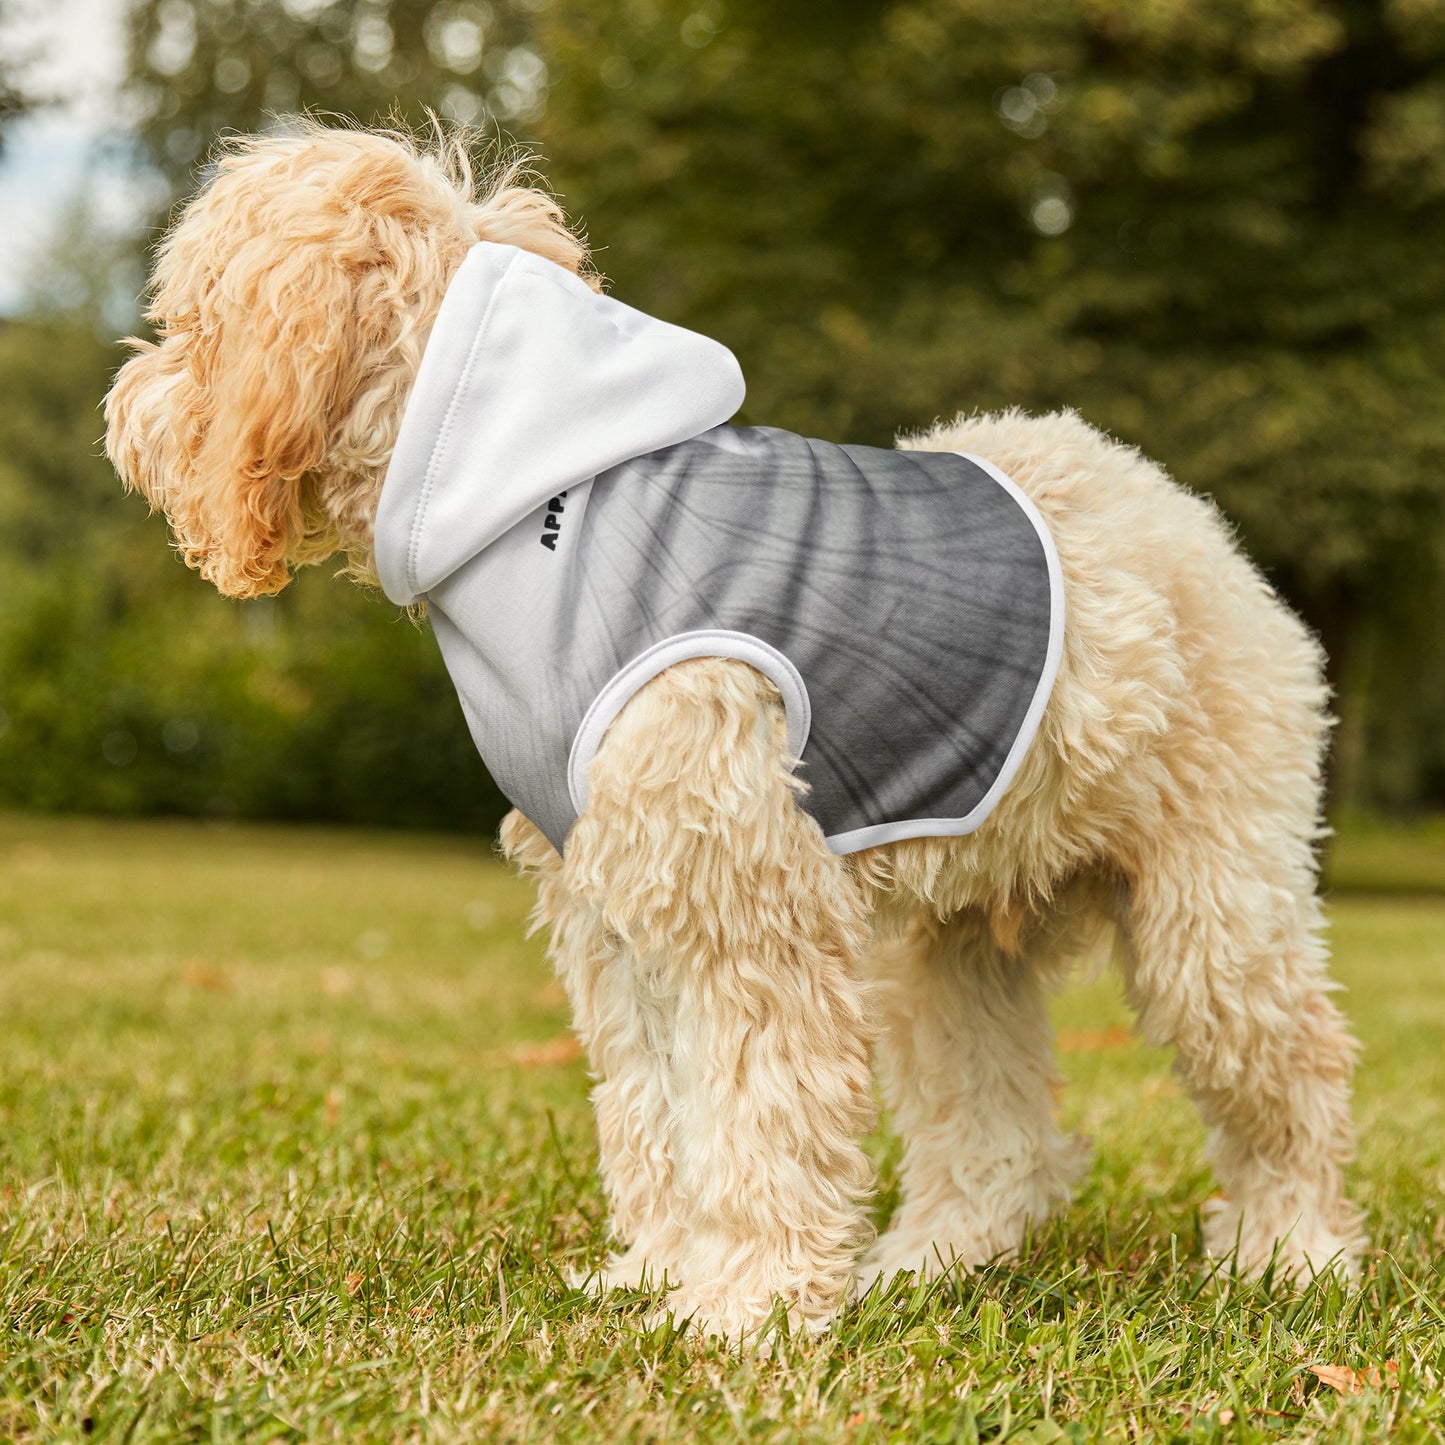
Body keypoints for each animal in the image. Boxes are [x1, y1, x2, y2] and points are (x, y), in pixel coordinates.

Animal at [104, 124, 1364, 1340]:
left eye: (190, 318)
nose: (124, 406)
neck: (536, 505)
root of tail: (1184, 517)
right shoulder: (618, 910)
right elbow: (656, 1111)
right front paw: (661, 1273)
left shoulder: (743, 905)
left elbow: (759, 1112)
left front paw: (746, 1305)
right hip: (950, 947)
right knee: (994, 1131)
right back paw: (930, 1259)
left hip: (1211, 913)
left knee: (1292, 1072)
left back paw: (1290, 1251)